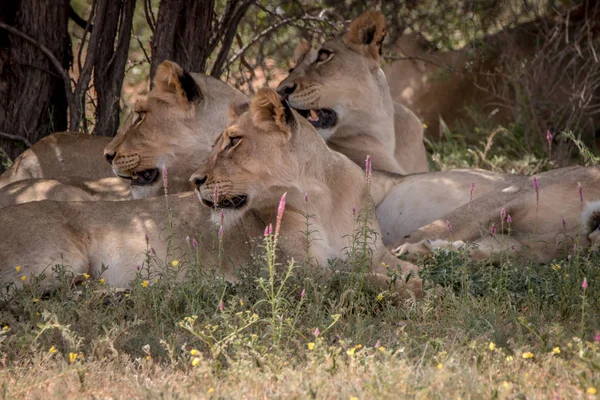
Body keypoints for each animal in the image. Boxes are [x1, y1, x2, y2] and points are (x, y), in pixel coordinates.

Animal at [0, 87, 422, 298]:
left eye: (233, 141)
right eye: (217, 141)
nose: (196, 180)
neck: (321, 198)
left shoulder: (374, 252)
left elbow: (411, 272)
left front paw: (414, 283)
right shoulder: (295, 271)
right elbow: (359, 279)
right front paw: (399, 290)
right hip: (60, 259)